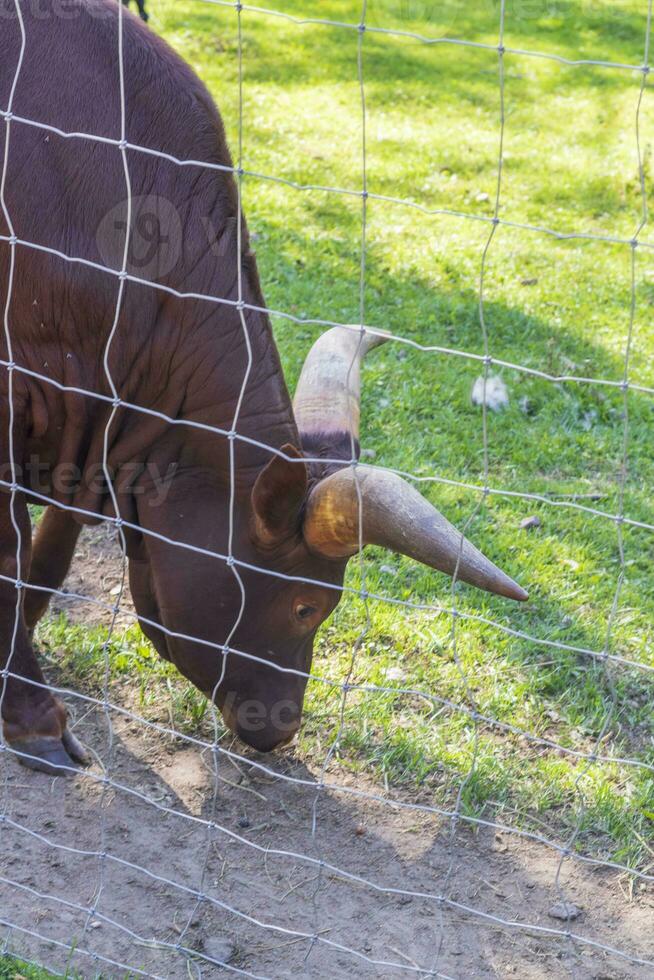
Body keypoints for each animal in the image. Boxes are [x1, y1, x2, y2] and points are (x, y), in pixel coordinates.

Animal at [0, 0, 528, 772]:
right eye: (307, 605)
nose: (283, 727)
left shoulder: (87, 424)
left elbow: (50, 554)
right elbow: (10, 551)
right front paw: (31, 716)